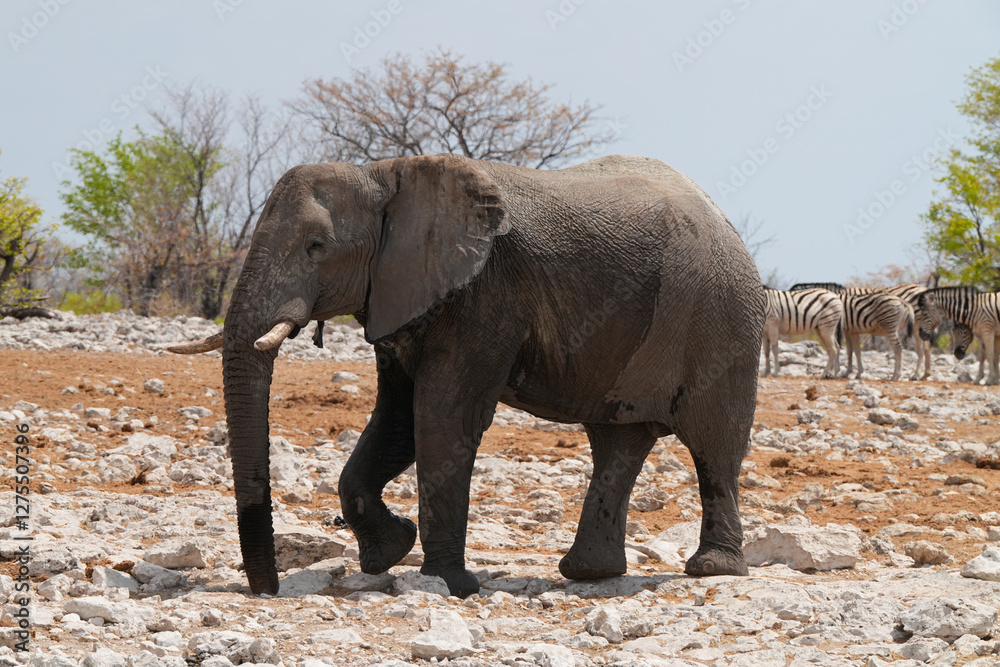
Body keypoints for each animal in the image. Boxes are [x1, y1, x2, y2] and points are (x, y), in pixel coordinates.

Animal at [169, 153, 765, 597]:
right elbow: (396, 420)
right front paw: (388, 552)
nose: (265, 589)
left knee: (713, 445)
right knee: (617, 443)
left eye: (317, 247)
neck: (385, 174)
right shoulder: (401, 293)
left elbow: (440, 415)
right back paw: (589, 573)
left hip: (721, 318)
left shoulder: (486, 290)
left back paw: (711, 569)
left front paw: (446, 583)